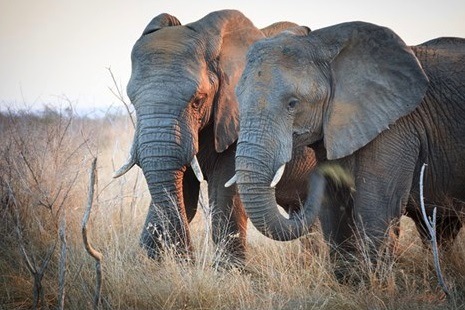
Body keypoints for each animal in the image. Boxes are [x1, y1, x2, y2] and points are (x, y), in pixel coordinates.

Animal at [113, 10, 316, 266]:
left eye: (197, 100)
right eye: (133, 101)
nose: (188, 260)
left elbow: (225, 193)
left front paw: (230, 272)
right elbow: (184, 193)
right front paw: (147, 263)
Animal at [234, 21, 464, 268]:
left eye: (292, 103)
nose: (315, 175)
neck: (322, 43)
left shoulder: (396, 128)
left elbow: (377, 212)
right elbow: (336, 213)